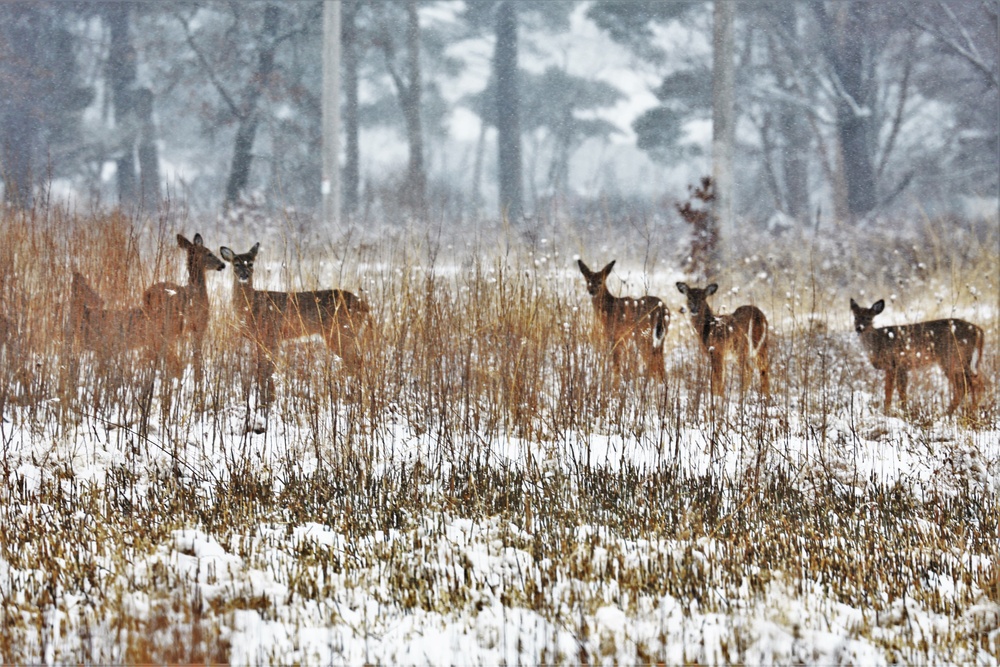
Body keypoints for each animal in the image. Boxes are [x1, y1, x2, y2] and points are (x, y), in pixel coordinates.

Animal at [142, 234, 226, 380]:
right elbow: (196, 354)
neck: (198, 291)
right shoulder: (199, 325)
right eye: (209, 253)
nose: (222, 265)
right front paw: (198, 379)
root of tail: (147, 295)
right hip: (169, 324)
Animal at [219, 244, 372, 404]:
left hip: (340, 333)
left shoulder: (272, 336)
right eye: (236, 264)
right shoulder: (262, 340)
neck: (252, 305)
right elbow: (263, 370)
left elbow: (268, 370)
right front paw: (265, 399)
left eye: (250, 263)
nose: (244, 275)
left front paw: (268, 400)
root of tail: (365, 305)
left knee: (356, 363)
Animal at [852, 300, 984, 414]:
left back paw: (955, 412)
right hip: (961, 360)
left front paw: (889, 412)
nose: (859, 328)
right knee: (972, 382)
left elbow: (890, 390)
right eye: (855, 317)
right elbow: (900, 390)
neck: (877, 342)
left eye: (869, 318)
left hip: (952, 358)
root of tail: (978, 330)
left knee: (967, 385)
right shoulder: (902, 367)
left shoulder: (893, 364)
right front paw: (903, 410)